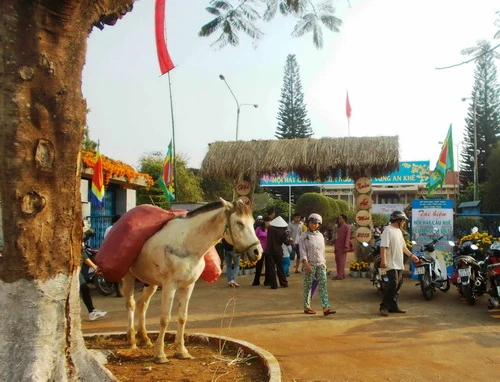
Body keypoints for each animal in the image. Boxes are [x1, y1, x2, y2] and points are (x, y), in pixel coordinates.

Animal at [121, 198, 264, 362]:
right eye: (239, 222)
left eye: (253, 222)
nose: (257, 252)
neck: (187, 244)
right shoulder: (169, 285)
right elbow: (165, 318)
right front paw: (160, 354)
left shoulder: (188, 285)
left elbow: (182, 317)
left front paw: (181, 351)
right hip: (128, 277)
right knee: (131, 304)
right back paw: (132, 340)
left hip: (150, 282)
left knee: (142, 304)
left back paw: (144, 338)